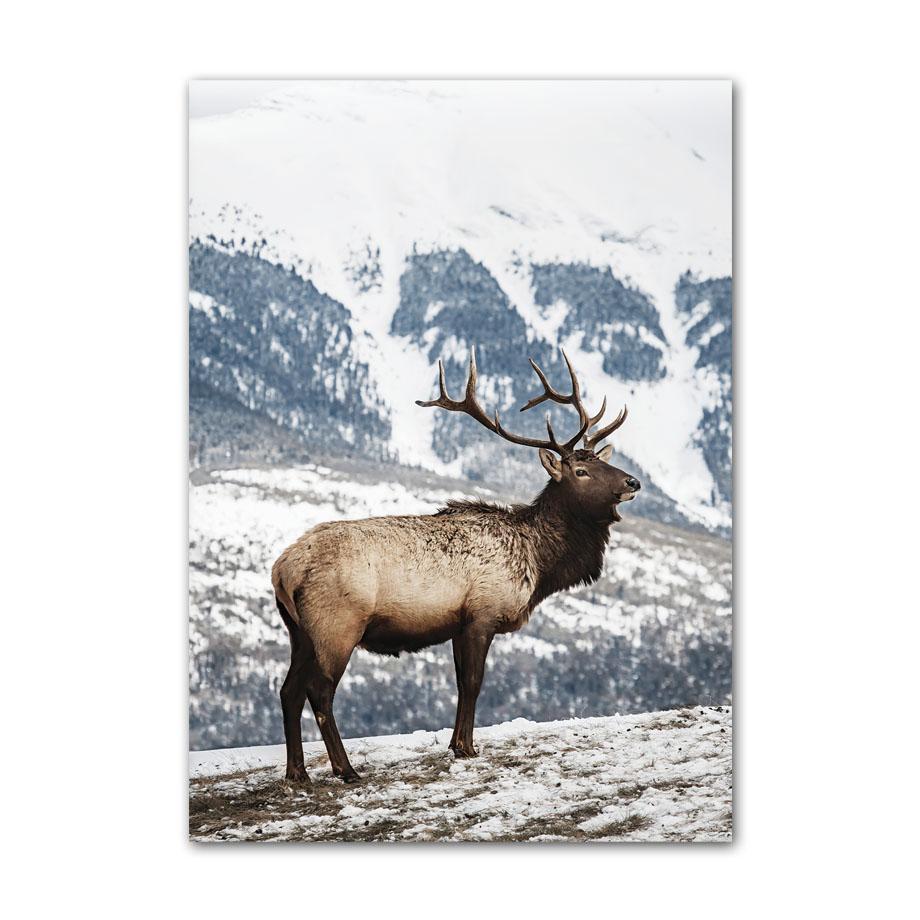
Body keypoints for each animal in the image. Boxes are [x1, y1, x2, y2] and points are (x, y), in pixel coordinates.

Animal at [271, 348, 640, 783]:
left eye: (601, 461)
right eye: (581, 471)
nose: (632, 482)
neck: (538, 562)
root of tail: (282, 570)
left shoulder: (457, 625)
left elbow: (461, 684)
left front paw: (455, 744)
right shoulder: (482, 614)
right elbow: (475, 682)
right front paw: (467, 747)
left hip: (299, 631)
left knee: (288, 690)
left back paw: (297, 772)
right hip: (337, 625)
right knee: (320, 692)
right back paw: (346, 769)